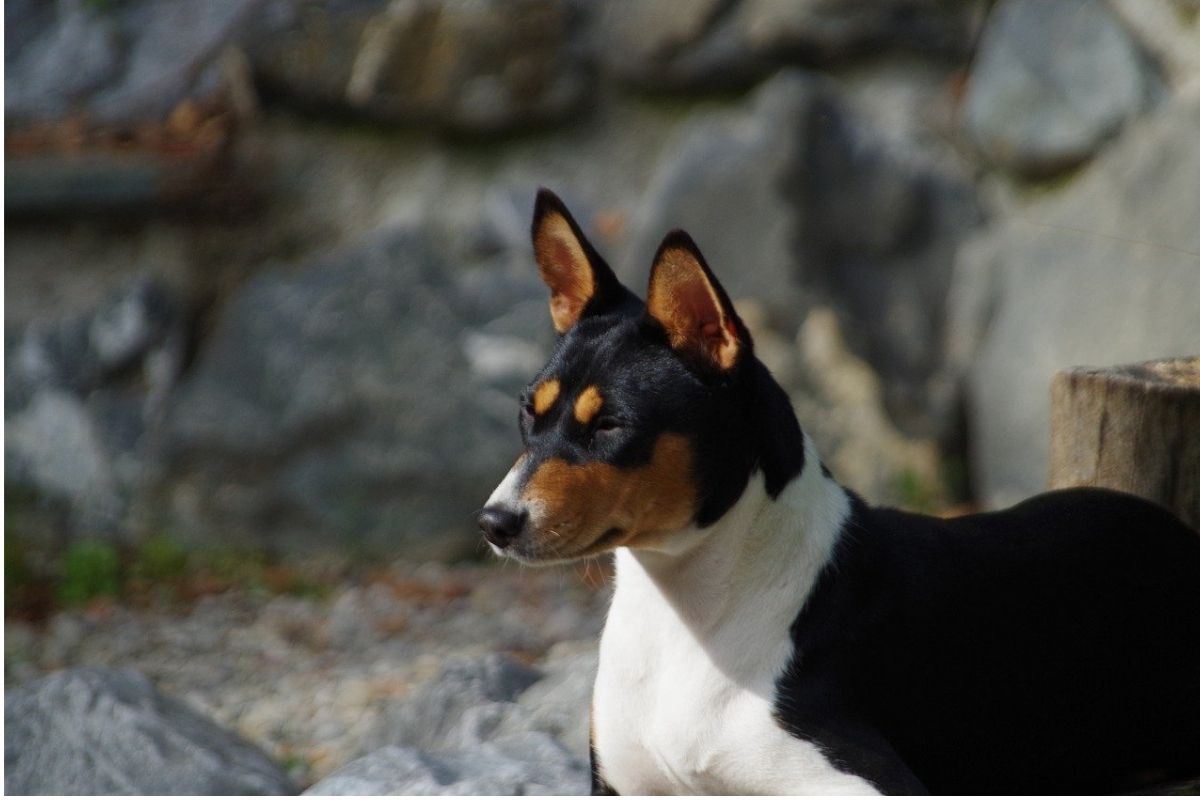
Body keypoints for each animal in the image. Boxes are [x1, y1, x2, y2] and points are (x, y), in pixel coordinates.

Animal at [477, 188, 1200, 796]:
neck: (685, 616)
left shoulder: (862, 777)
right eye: (527, 413)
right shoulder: (624, 783)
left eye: (610, 426)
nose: (495, 522)